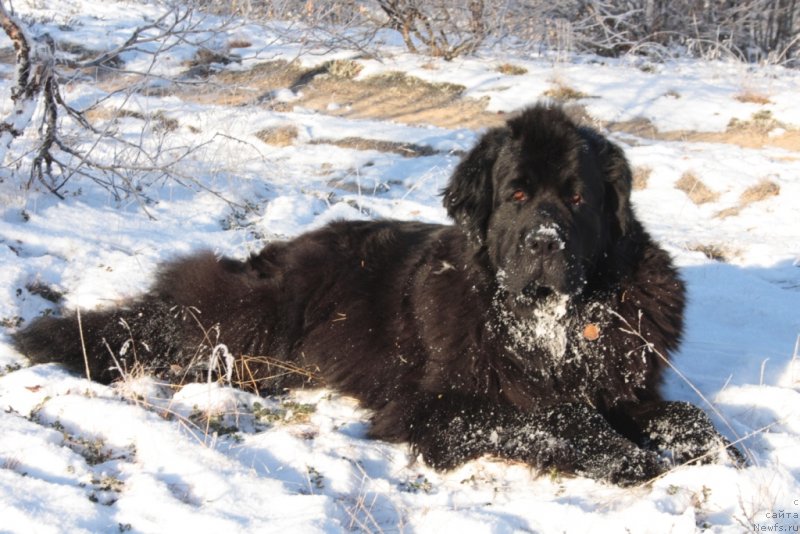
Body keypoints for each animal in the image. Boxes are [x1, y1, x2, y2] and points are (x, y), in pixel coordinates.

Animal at [12, 103, 740, 486]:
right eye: (516, 195)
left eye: (580, 198)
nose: (545, 242)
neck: (549, 326)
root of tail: (282, 249)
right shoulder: (438, 407)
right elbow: (556, 415)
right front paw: (628, 456)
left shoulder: (625, 384)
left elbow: (685, 415)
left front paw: (719, 451)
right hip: (246, 317)